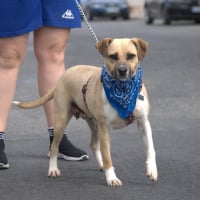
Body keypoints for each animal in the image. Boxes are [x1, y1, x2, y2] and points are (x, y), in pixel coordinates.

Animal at [14, 38, 158, 188]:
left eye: (131, 56)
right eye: (113, 56)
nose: (122, 70)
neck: (123, 90)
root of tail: (64, 75)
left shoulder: (143, 123)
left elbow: (150, 148)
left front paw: (152, 170)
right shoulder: (105, 128)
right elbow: (107, 156)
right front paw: (111, 178)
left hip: (94, 125)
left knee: (93, 145)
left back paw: (101, 166)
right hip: (62, 121)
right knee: (54, 147)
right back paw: (53, 169)